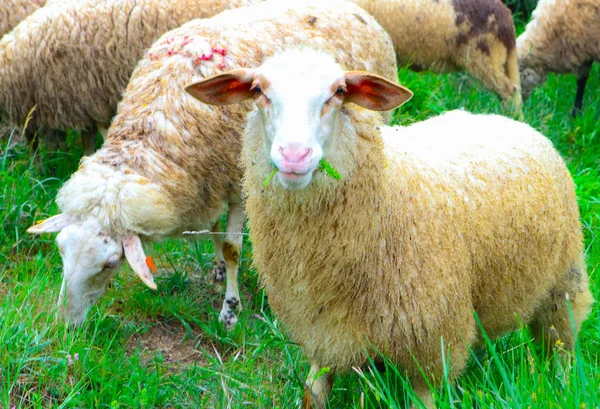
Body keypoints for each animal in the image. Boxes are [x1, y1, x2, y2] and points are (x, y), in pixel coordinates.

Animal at [29, 0, 404, 330]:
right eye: (60, 250)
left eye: (110, 264)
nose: (66, 326)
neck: (162, 122)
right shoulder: (209, 182)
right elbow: (214, 233)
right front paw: (218, 270)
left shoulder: (238, 184)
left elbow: (232, 247)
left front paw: (230, 309)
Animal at [186, 49, 596, 406]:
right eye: (258, 91)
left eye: (338, 92)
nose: (294, 156)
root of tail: (503, 119)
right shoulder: (324, 331)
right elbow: (312, 393)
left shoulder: (432, 343)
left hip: (563, 284)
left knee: (562, 348)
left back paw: (562, 388)